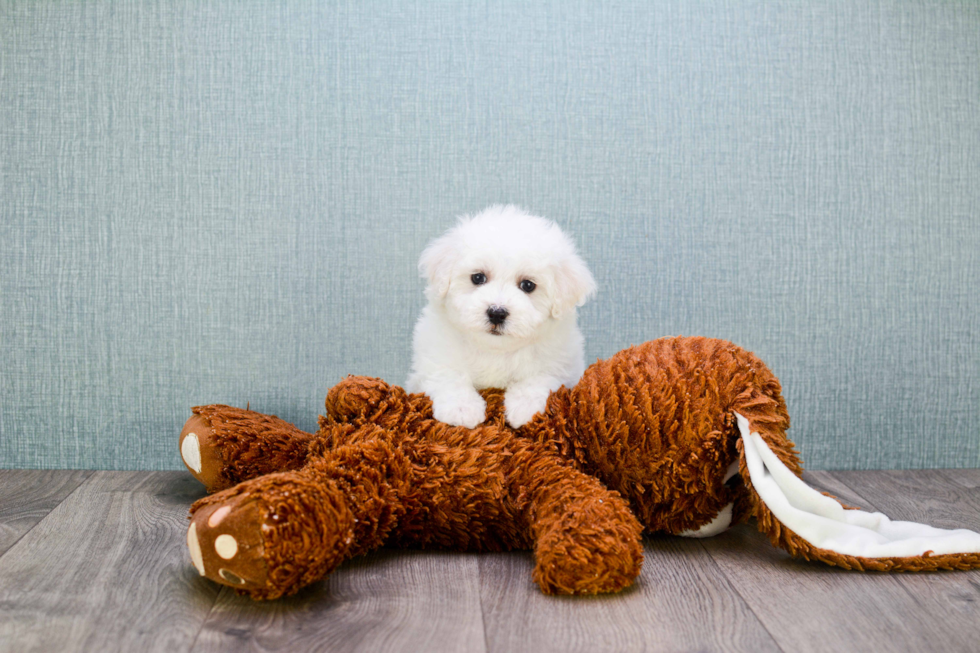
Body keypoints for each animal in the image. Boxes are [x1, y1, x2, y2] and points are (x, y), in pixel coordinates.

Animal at [406, 204, 596, 428]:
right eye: (478, 278)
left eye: (528, 285)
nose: (497, 313)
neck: (495, 349)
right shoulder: (434, 357)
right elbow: (448, 375)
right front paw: (461, 409)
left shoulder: (561, 364)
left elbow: (540, 377)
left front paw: (525, 408)